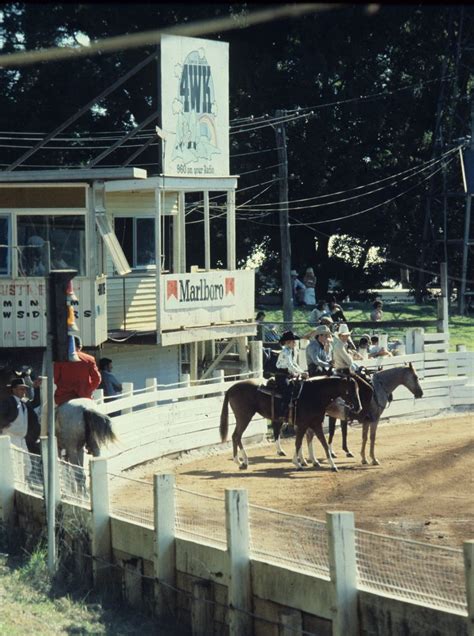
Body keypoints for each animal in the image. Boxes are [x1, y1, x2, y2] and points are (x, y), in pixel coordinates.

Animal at [220, 372, 362, 472]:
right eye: (350, 390)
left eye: (358, 390)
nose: (359, 407)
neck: (314, 394)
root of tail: (231, 388)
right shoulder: (304, 424)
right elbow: (299, 442)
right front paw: (298, 463)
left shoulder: (315, 424)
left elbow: (322, 443)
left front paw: (331, 465)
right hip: (244, 417)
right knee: (236, 436)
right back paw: (241, 461)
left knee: (237, 436)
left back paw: (242, 462)